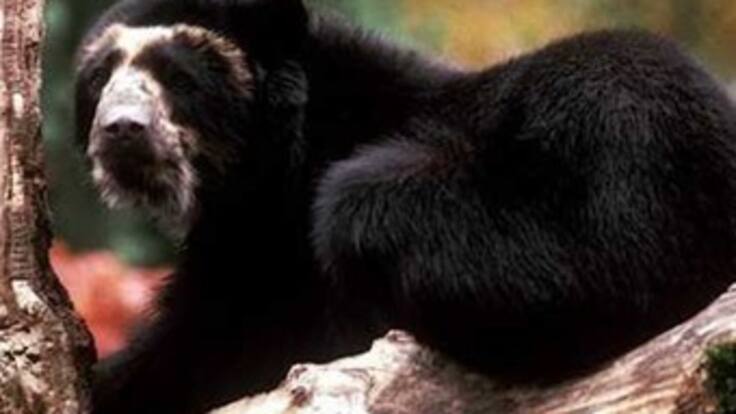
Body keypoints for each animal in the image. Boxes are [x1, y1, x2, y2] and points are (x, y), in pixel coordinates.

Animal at [74, 0, 736, 412]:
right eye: (100, 76)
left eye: (178, 76)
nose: (122, 130)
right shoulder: (244, 255)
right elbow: (197, 347)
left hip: (621, 125)